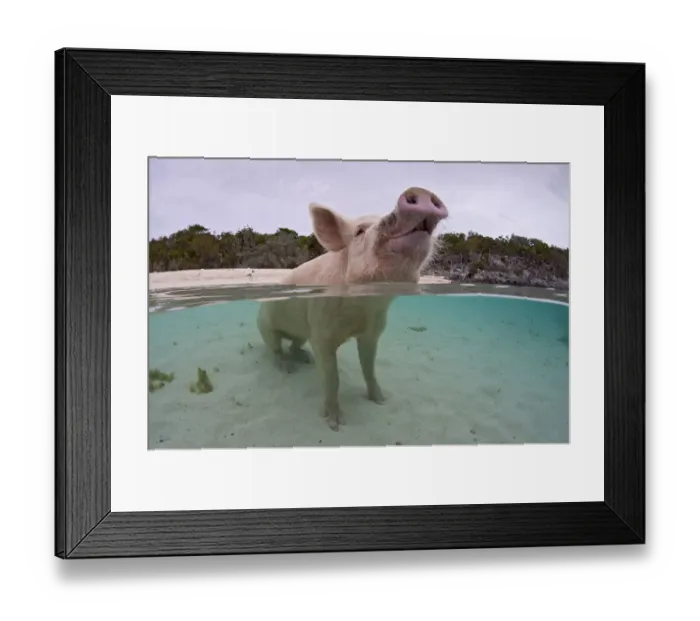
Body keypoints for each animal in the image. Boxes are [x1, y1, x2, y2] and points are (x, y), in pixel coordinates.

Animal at [256, 186, 449, 431]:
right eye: (359, 231)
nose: (420, 191)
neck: (362, 309)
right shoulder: (321, 331)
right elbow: (332, 378)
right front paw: (336, 424)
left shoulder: (372, 331)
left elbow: (369, 368)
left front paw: (381, 400)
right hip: (265, 325)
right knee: (276, 349)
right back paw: (288, 369)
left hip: (302, 331)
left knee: (294, 345)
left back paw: (306, 360)